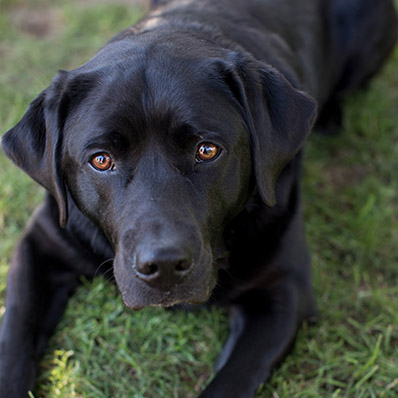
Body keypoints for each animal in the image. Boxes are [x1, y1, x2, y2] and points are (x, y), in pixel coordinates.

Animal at [0, 0, 398, 396]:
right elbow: (15, 334)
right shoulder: (42, 240)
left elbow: (230, 382)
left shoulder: (284, 290)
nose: (163, 266)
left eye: (207, 150)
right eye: (101, 160)